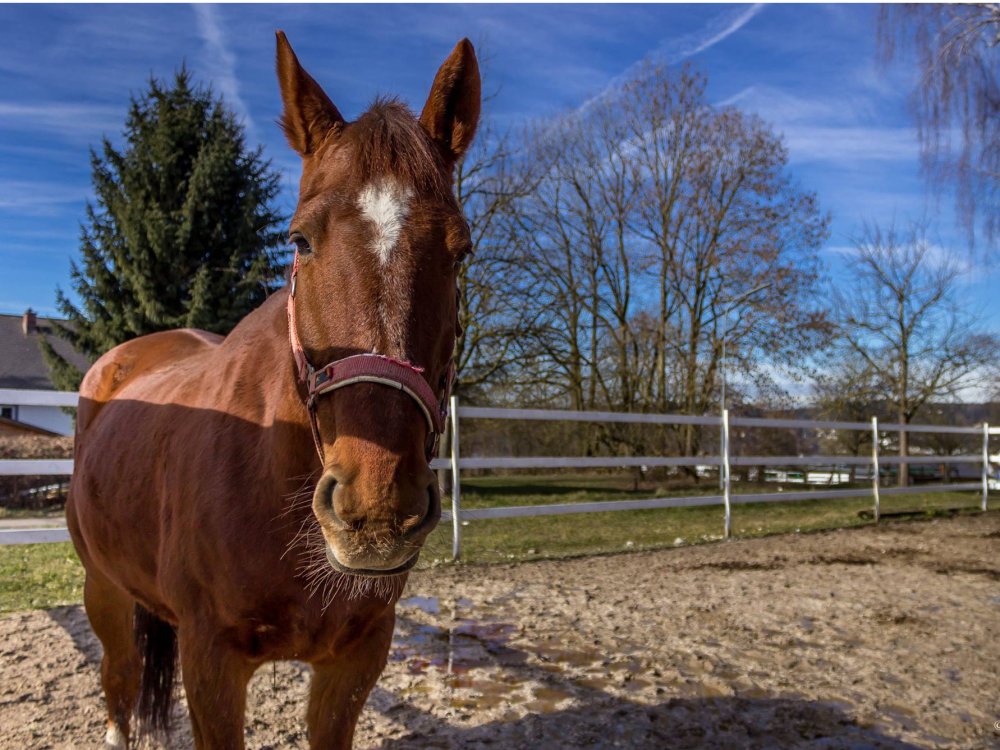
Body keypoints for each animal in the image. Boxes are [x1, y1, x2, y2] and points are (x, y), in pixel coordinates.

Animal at [66, 30, 480, 750]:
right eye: (300, 240)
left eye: (461, 251)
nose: (376, 508)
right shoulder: (211, 662)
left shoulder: (356, 658)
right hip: (105, 590)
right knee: (118, 682)